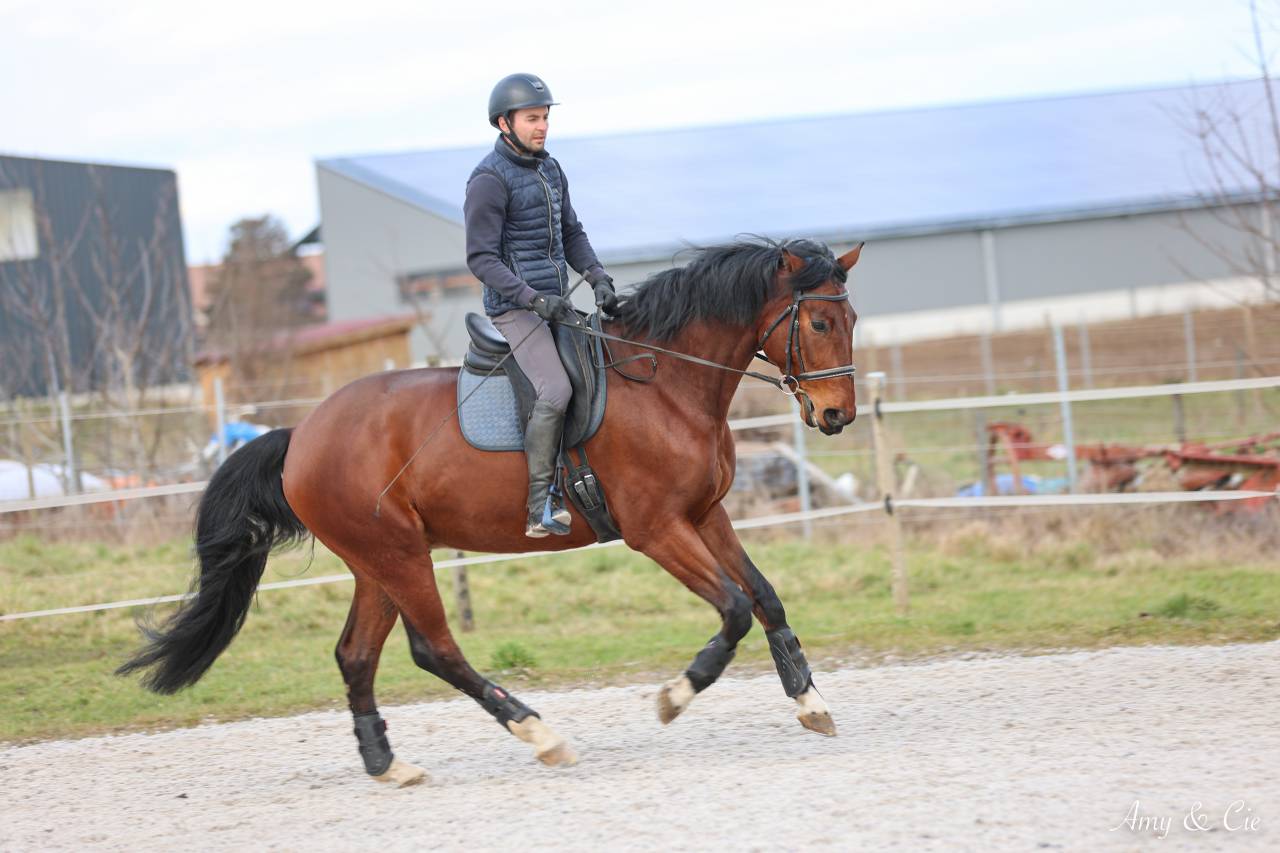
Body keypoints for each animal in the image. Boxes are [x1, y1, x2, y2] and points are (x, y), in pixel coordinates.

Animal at [118, 237, 862, 786]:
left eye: (850, 321)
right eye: (820, 322)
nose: (837, 416)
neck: (667, 383)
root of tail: (301, 434)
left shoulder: (706, 515)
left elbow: (764, 596)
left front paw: (810, 701)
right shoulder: (657, 529)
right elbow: (733, 608)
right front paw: (674, 696)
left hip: (375, 562)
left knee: (356, 655)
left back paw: (388, 765)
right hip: (399, 555)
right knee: (434, 648)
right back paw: (539, 733)